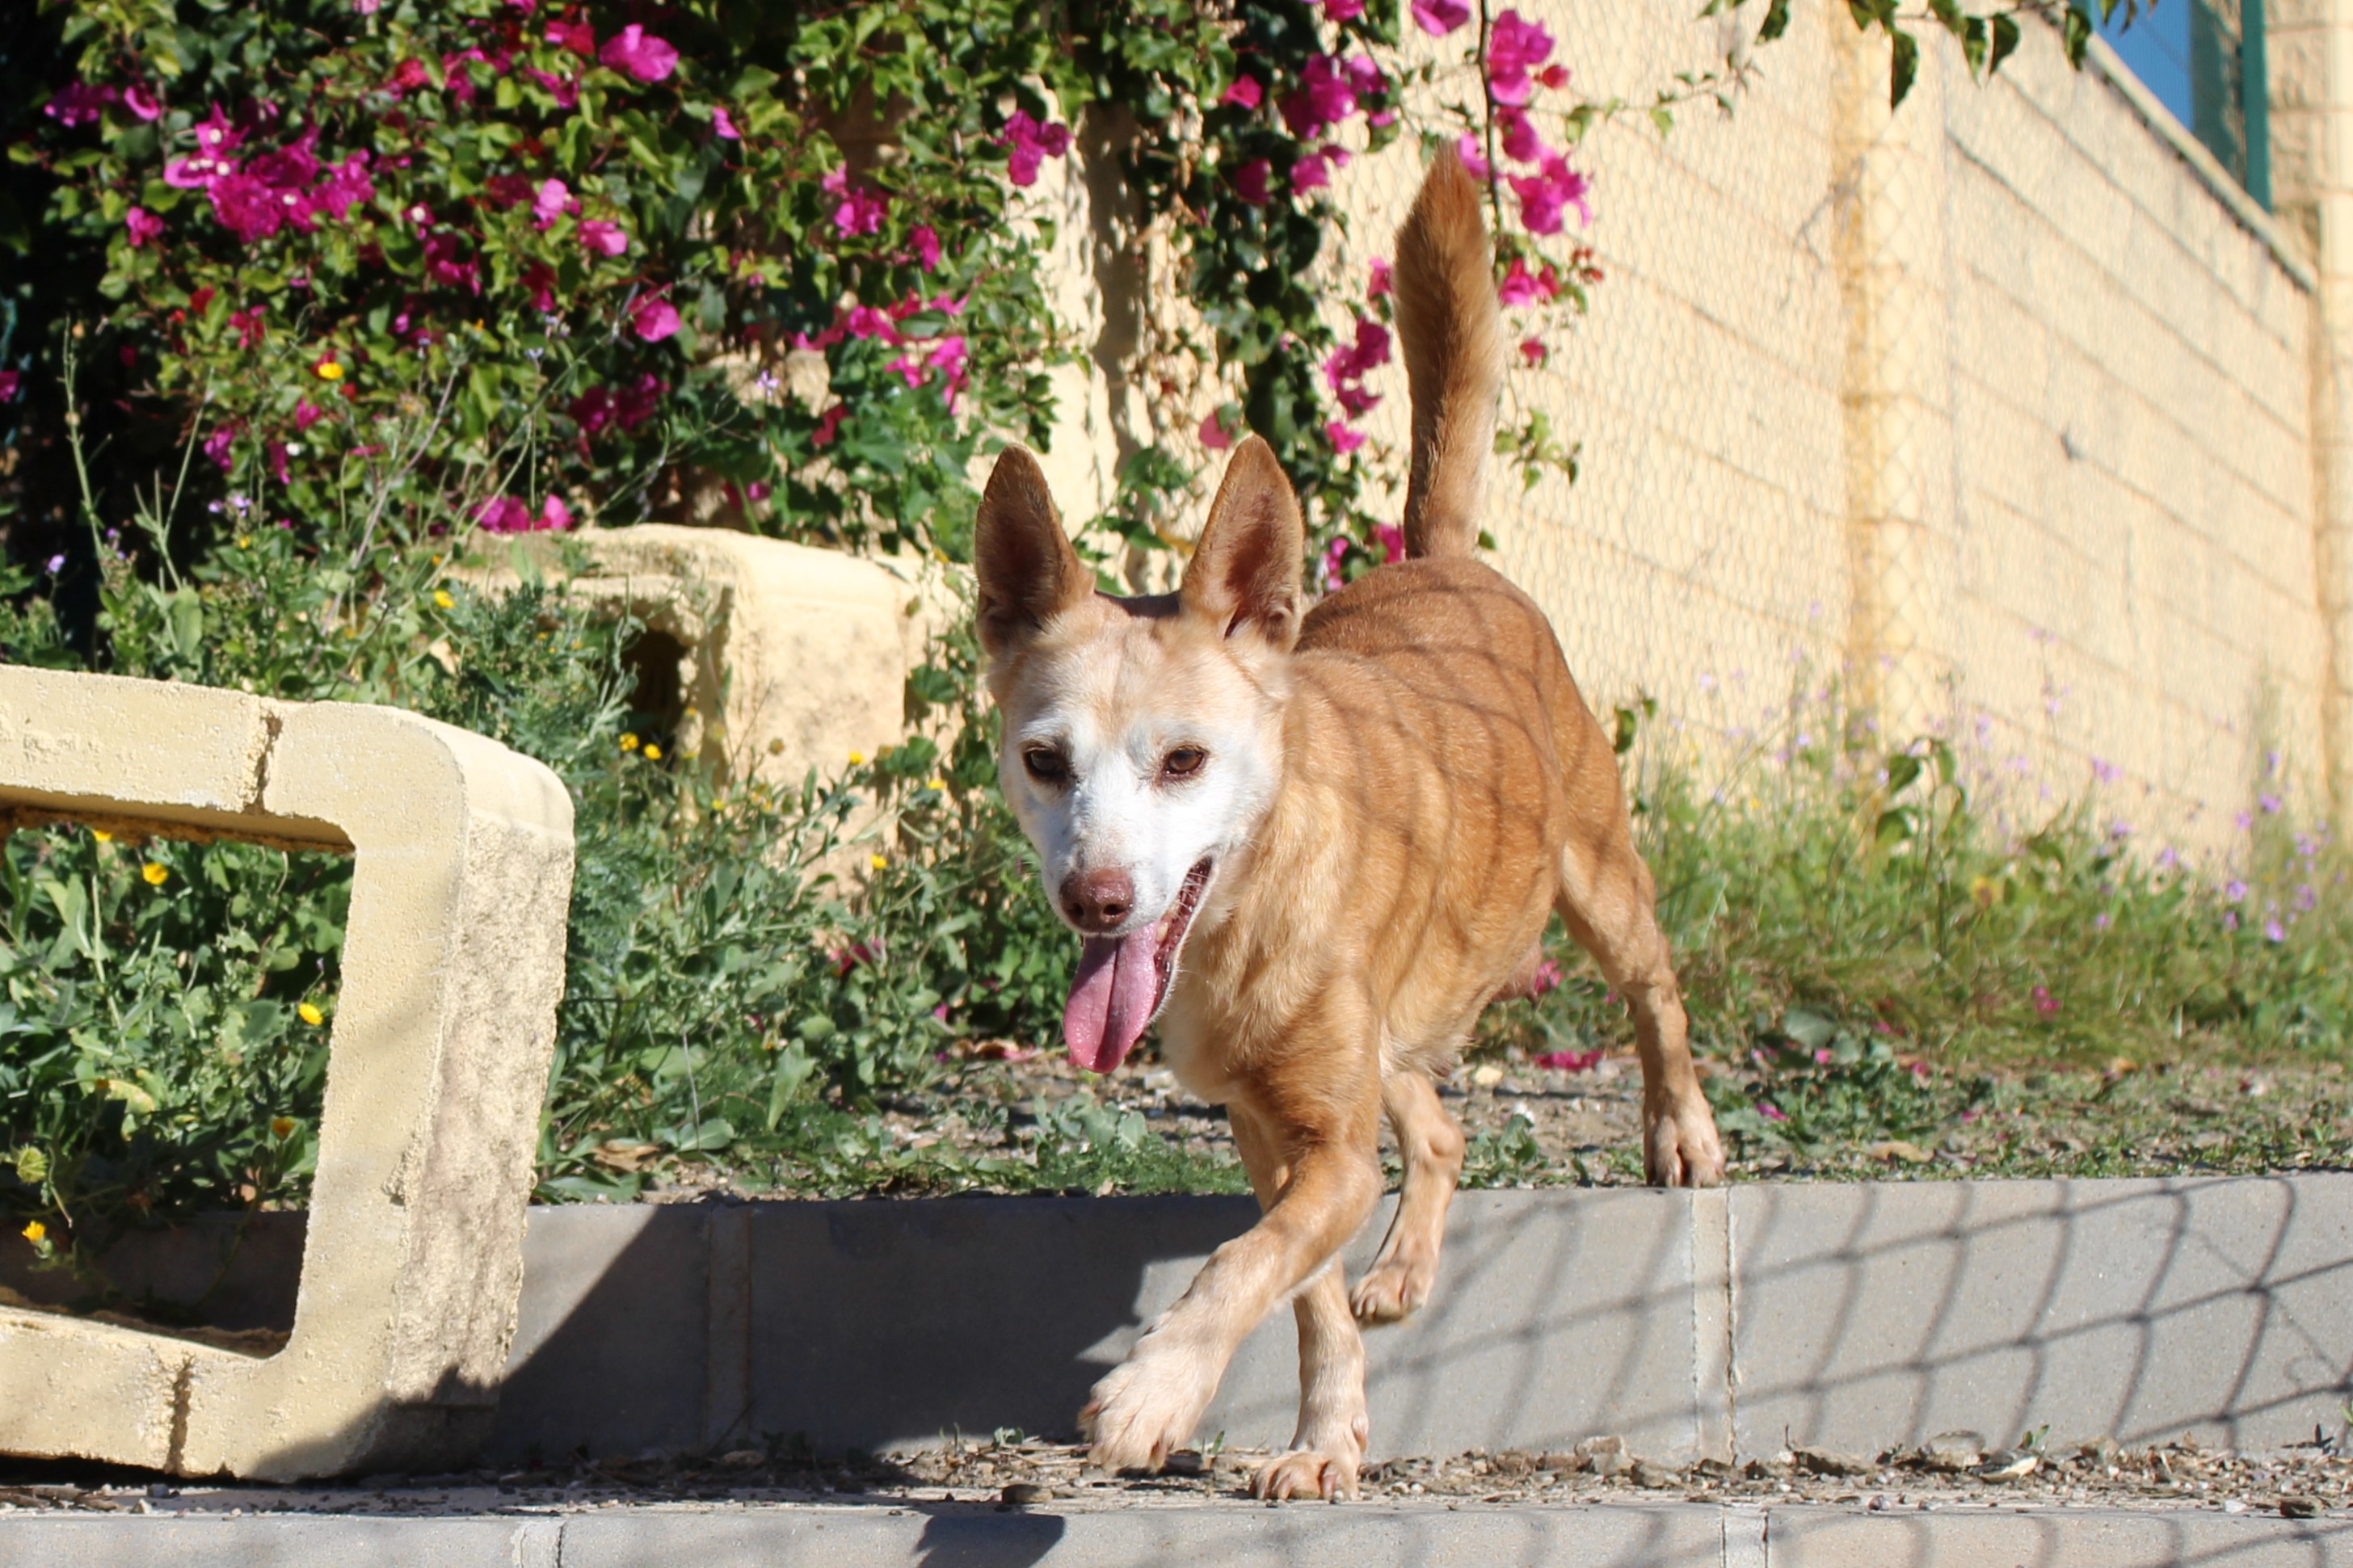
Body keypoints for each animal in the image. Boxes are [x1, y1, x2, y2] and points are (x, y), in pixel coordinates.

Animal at [964, 150, 1722, 1504]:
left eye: (1185, 760)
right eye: (1045, 761)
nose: (1097, 899)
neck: (1243, 912)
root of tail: (1447, 561)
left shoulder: (1328, 1151)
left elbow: (1237, 1266)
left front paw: (1156, 1390)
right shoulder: (1281, 1139)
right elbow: (1295, 1284)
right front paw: (1326, 1435)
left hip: (1600, 883)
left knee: (1657, 997)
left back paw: (1681, 1130)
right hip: (1394, 1029)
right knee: (1441, 1125)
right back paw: (1408, 1259)